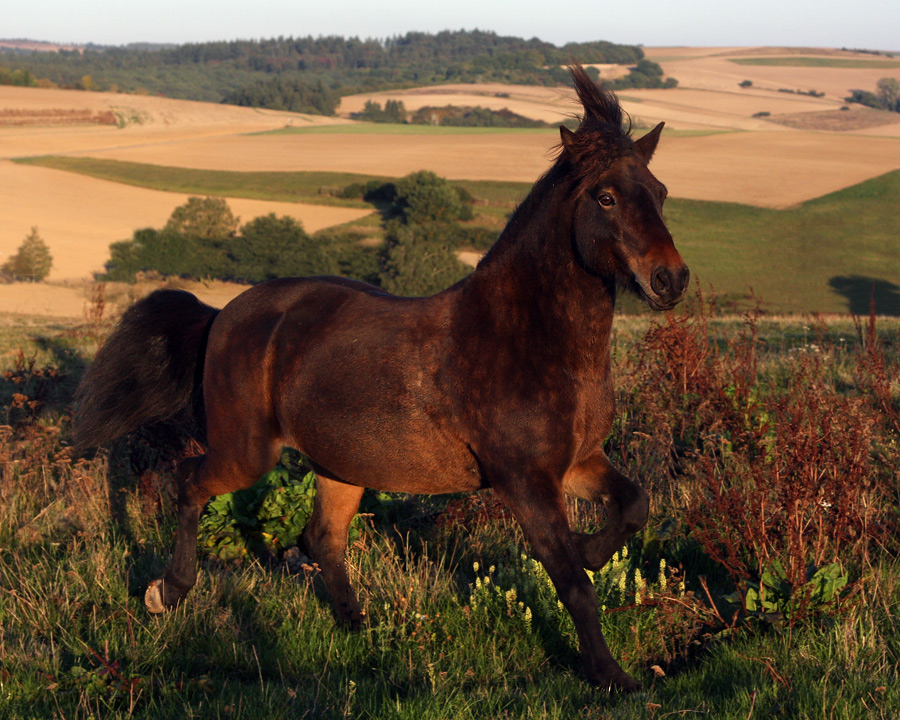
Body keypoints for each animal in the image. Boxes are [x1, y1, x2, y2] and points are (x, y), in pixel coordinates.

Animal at [75, 66, 688, 692]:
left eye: (661, 192)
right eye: (605, 197)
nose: (671, 280)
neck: (530, 337)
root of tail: (222, 314)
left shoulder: (579, 462)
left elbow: (633, 507)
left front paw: (592, 552)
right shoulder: (525, 480)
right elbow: (574, 584)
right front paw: (612, 676)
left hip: (342, 463)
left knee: (321, 536)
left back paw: (356, 626)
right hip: (247, 452)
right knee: (191, 482)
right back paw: (167, 592)